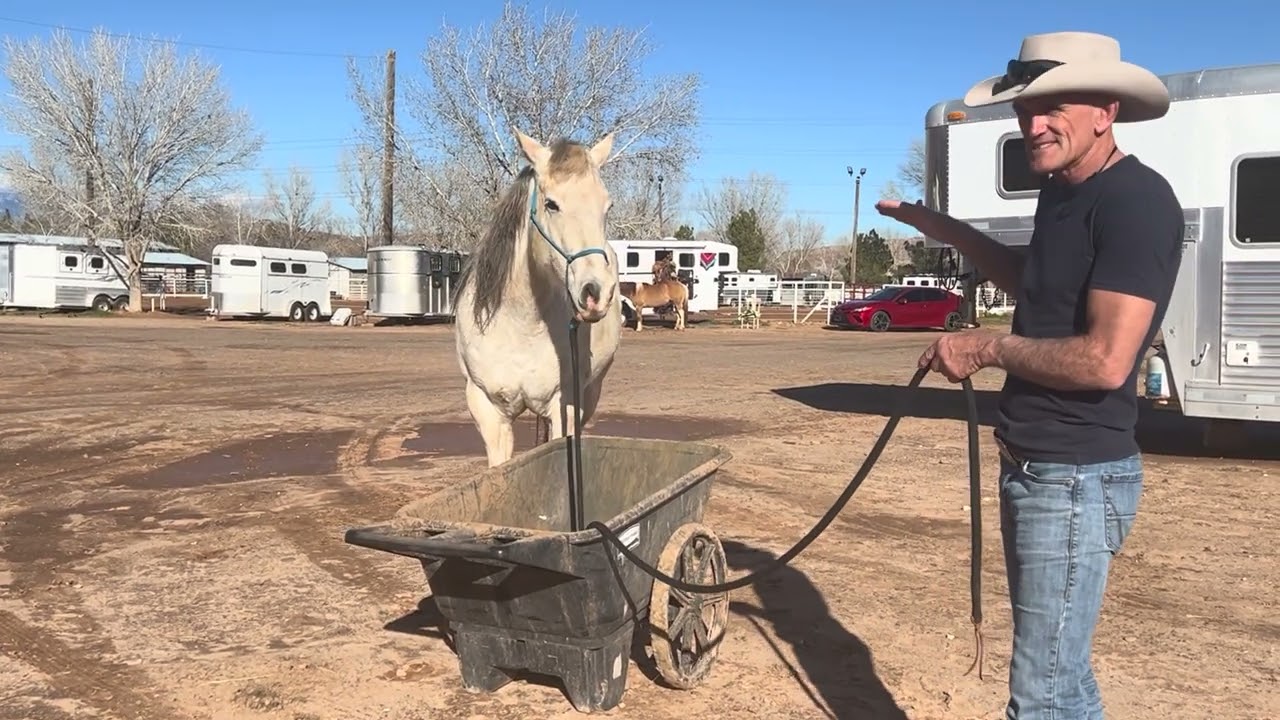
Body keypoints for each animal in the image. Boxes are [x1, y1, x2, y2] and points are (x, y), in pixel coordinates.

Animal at [452, 129, 622, 468]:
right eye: (551, 204)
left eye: (607, 206)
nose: (596, 292)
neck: (521, 324)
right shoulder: (487, 409)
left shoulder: (566, 406)